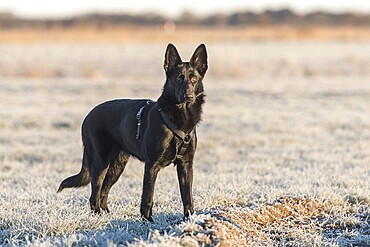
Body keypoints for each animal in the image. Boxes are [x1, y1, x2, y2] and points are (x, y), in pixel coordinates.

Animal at [57, 43, 208, 222]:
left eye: (194, 78)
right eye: (178, 78)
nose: (188, 96)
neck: (179, 117)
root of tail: (89, 115)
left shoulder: (185, 165)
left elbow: (187, 196)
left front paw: (190, 219)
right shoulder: (151, 165)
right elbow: (148, 196)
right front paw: (147, 221)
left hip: (117, 165)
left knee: (104, 191)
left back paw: (107, 214)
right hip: (101, 162)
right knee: (95, 193)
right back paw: (98, 217)